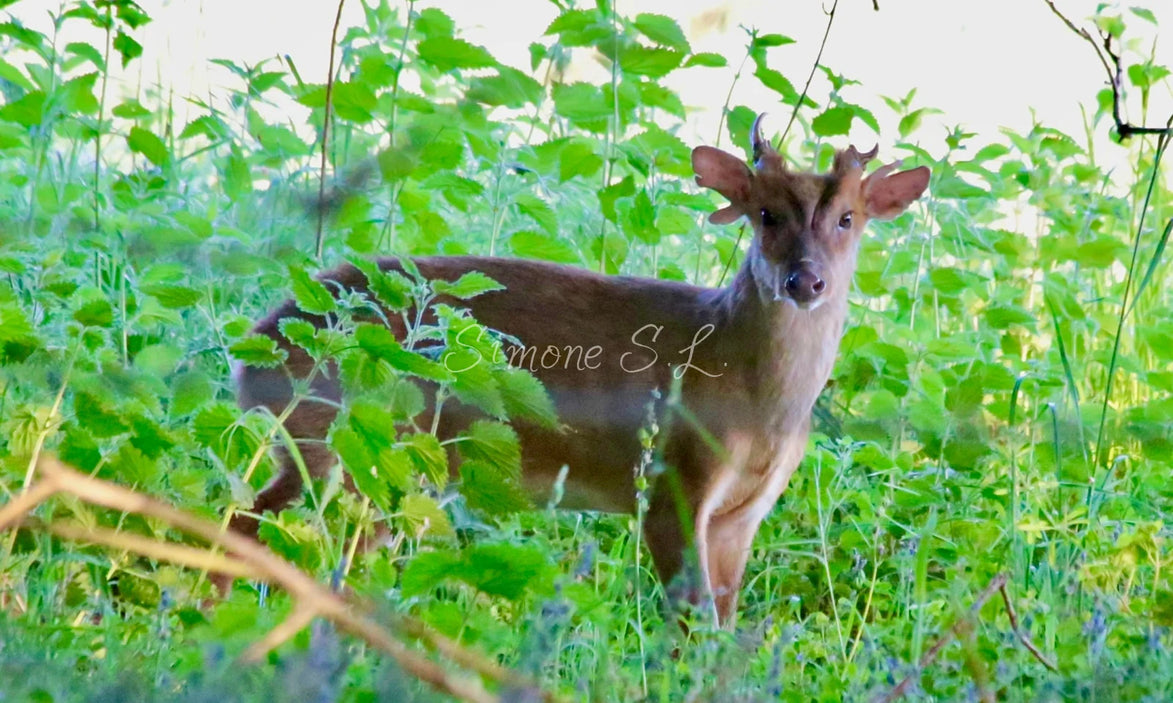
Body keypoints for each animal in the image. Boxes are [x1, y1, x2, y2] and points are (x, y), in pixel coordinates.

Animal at [221, 115, 930, 626]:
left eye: (848, 219)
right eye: (767, 214)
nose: (804, 281)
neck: (756, 406)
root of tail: (250, 347)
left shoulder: (745, 512)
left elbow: (724, 626)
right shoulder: (670, 480)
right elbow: (692, 625)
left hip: (383, 469)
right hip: (335, 436)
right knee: (246, 524)